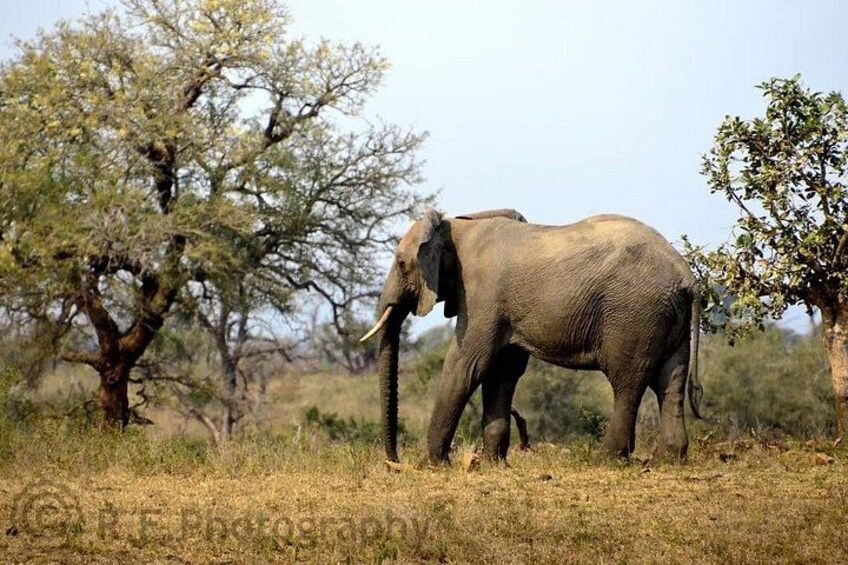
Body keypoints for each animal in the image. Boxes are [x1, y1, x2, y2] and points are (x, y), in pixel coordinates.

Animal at [360, 208, 702, 465]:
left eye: (401, 264)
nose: (395, 462)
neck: (456, 225)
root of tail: (686, 276)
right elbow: (502, 371)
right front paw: (493, 464)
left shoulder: (482, 296)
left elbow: (467, 364)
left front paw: (433, 464)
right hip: (666, 318)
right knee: (670, 380)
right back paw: (669, 459)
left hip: (633, 314)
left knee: (627, 382)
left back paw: (606, 458)